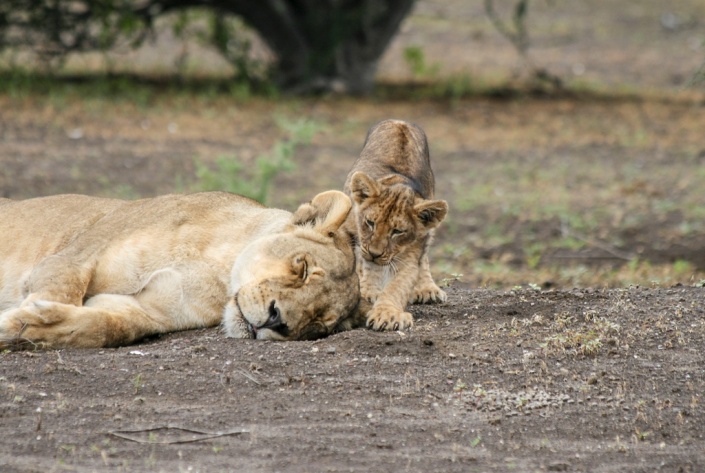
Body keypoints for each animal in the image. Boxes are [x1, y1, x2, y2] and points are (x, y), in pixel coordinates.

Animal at [0, 190, 361, 349]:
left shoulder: (149, 311)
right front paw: (18, 320)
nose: (279, 321)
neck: (217, 274)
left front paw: (29, 326)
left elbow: (109, 327)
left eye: (319, 325)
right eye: (302, 269)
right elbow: (63, 289)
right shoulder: (73, 257)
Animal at [343, 119, 449, 331]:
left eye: (397, 232)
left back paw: (428, 289)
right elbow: (365, 267)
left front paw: (387, 314)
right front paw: (369, 291)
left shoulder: (410, 254)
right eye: (370, 223)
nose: (375, 253)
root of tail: (400, 121)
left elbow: (397, 286)